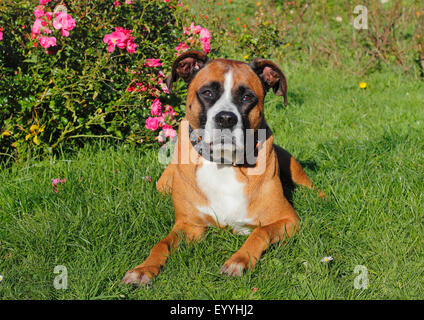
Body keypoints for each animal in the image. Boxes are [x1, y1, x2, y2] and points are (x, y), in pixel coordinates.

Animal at [122, 51, 324, 286]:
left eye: (247, 97)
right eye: (207, 92)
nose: (226, 118)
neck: (223, 162)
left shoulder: (287, 220)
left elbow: (261, 232)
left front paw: (239, 260)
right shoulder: (189, 225)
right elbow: (162, 243)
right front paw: (143, 269)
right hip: (163, 185)